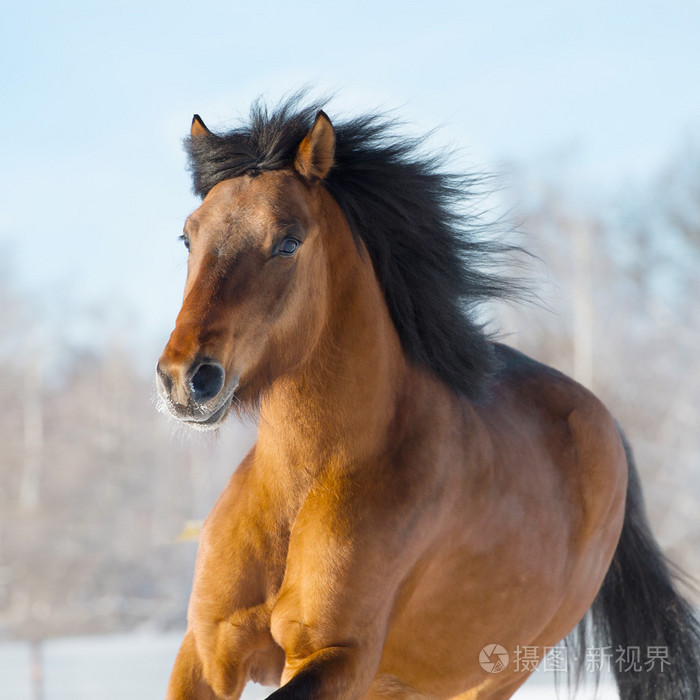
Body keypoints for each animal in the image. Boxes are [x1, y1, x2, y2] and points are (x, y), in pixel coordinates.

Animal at [154, 94, 700, 700]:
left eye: (288, 242)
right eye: (189, 237)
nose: (187, 379)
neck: (305, 483)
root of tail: (604, 423)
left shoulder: (338, 656)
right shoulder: (207, 649)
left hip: (493, 673)